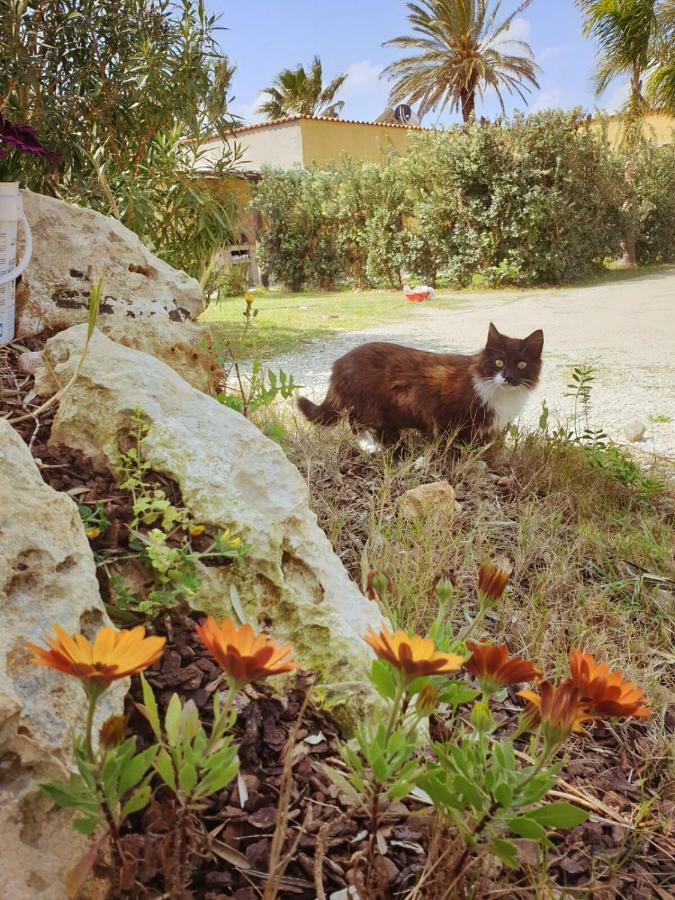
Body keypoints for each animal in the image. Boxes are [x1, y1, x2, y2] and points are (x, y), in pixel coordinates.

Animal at [298, 326, 548, 448]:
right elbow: (453, 443)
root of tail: (339, 363)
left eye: (521, 364)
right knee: (359, 422)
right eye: (499, 362)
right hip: (371, 405)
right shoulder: (448, 417)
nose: (508, 377)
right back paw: (374, 445)